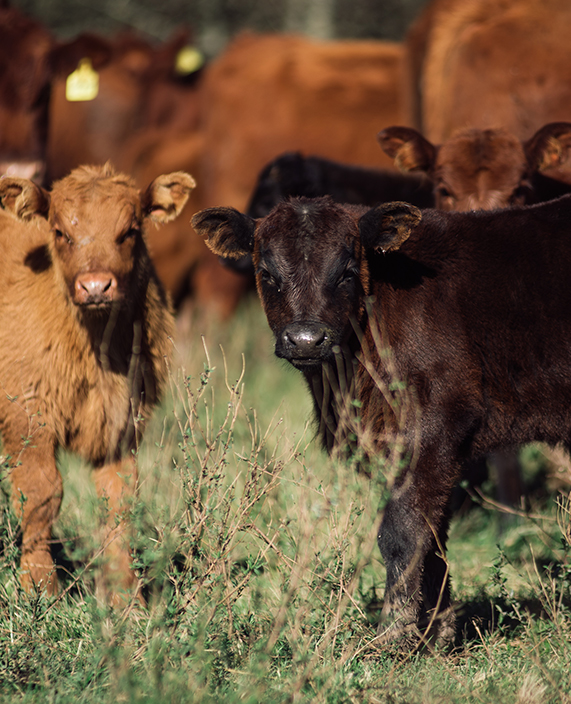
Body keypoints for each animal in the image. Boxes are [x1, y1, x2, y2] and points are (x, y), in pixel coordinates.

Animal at [0, 162, 196, 596]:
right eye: (60, 232)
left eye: (131, 230)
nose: (95, 287)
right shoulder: (27, 418)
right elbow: (41, 496)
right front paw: (39, 587)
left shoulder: (120, 426)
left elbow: (118, 503)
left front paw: (126, 596)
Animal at [193, 195, 571, 648]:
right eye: (266, 273)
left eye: (347, 273)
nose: (305, 340)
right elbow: (434, 536)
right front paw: (437, 635)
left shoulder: (433, 428)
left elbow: (403, 534)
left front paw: (392, 636)